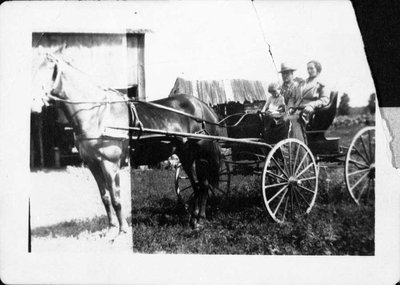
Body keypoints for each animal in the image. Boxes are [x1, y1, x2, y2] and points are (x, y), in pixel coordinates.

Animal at [42, 54, 223, 232]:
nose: (57, 124)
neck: (98, 114)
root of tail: (205, 108)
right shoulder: (93, 164)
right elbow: (105, 197)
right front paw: (111, 228)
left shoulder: (110, 164)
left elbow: (116, 199)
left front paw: (122, 230)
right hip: (188, 157)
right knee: (201, 185)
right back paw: (197, 219)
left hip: (199, 156)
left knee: (201, 186)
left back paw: (198, 220)